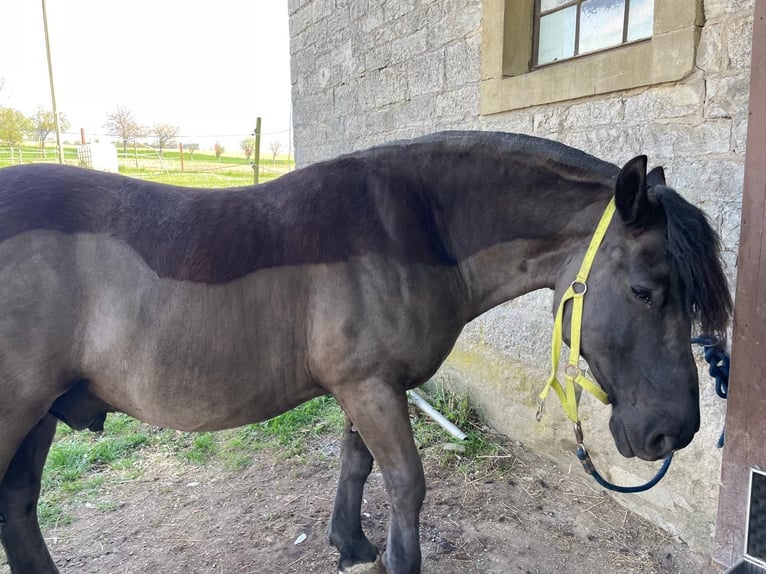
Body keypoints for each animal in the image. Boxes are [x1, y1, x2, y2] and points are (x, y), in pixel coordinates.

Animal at [0, 131, 732, 574]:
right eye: (645, 290)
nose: (674, 432)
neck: (414, 230)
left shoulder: (366, 386)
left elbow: (356, 464)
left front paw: (350, 545)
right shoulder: (370, 386)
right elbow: (405, 482)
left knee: (19, 505)